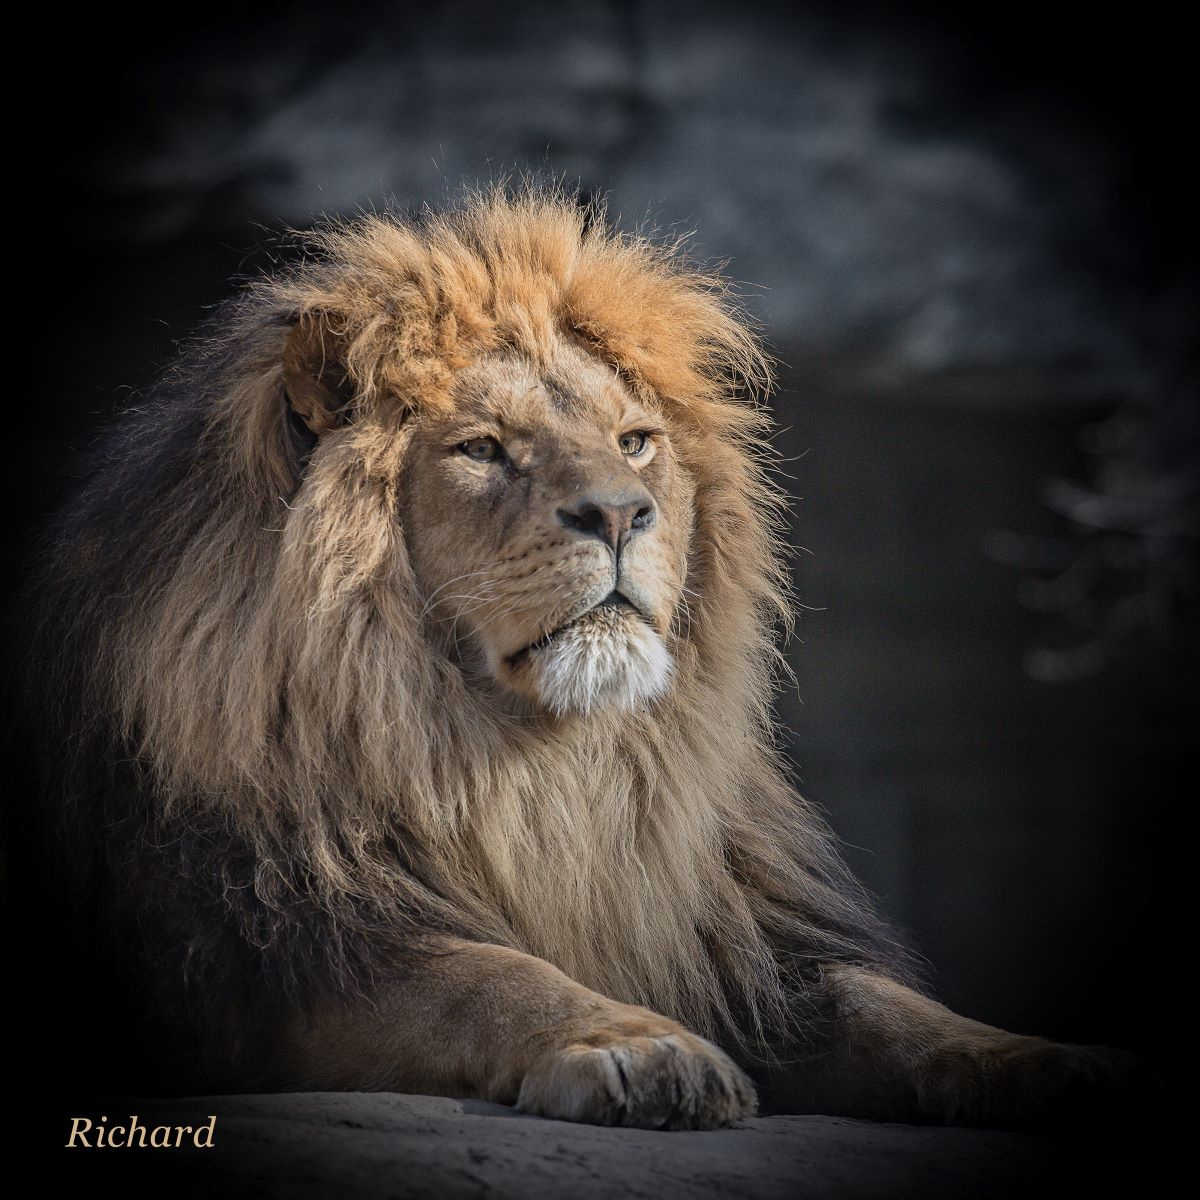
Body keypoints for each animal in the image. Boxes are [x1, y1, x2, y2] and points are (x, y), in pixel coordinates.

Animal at [12, 185, 1133, 1130]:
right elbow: (484, 976)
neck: (546, 772)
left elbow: (888, 1006)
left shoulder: (750, 948)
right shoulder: (269, 948)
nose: (621, 513)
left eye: (635, 441)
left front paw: (1052, 1062)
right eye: (483, 449)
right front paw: (639, 1050)